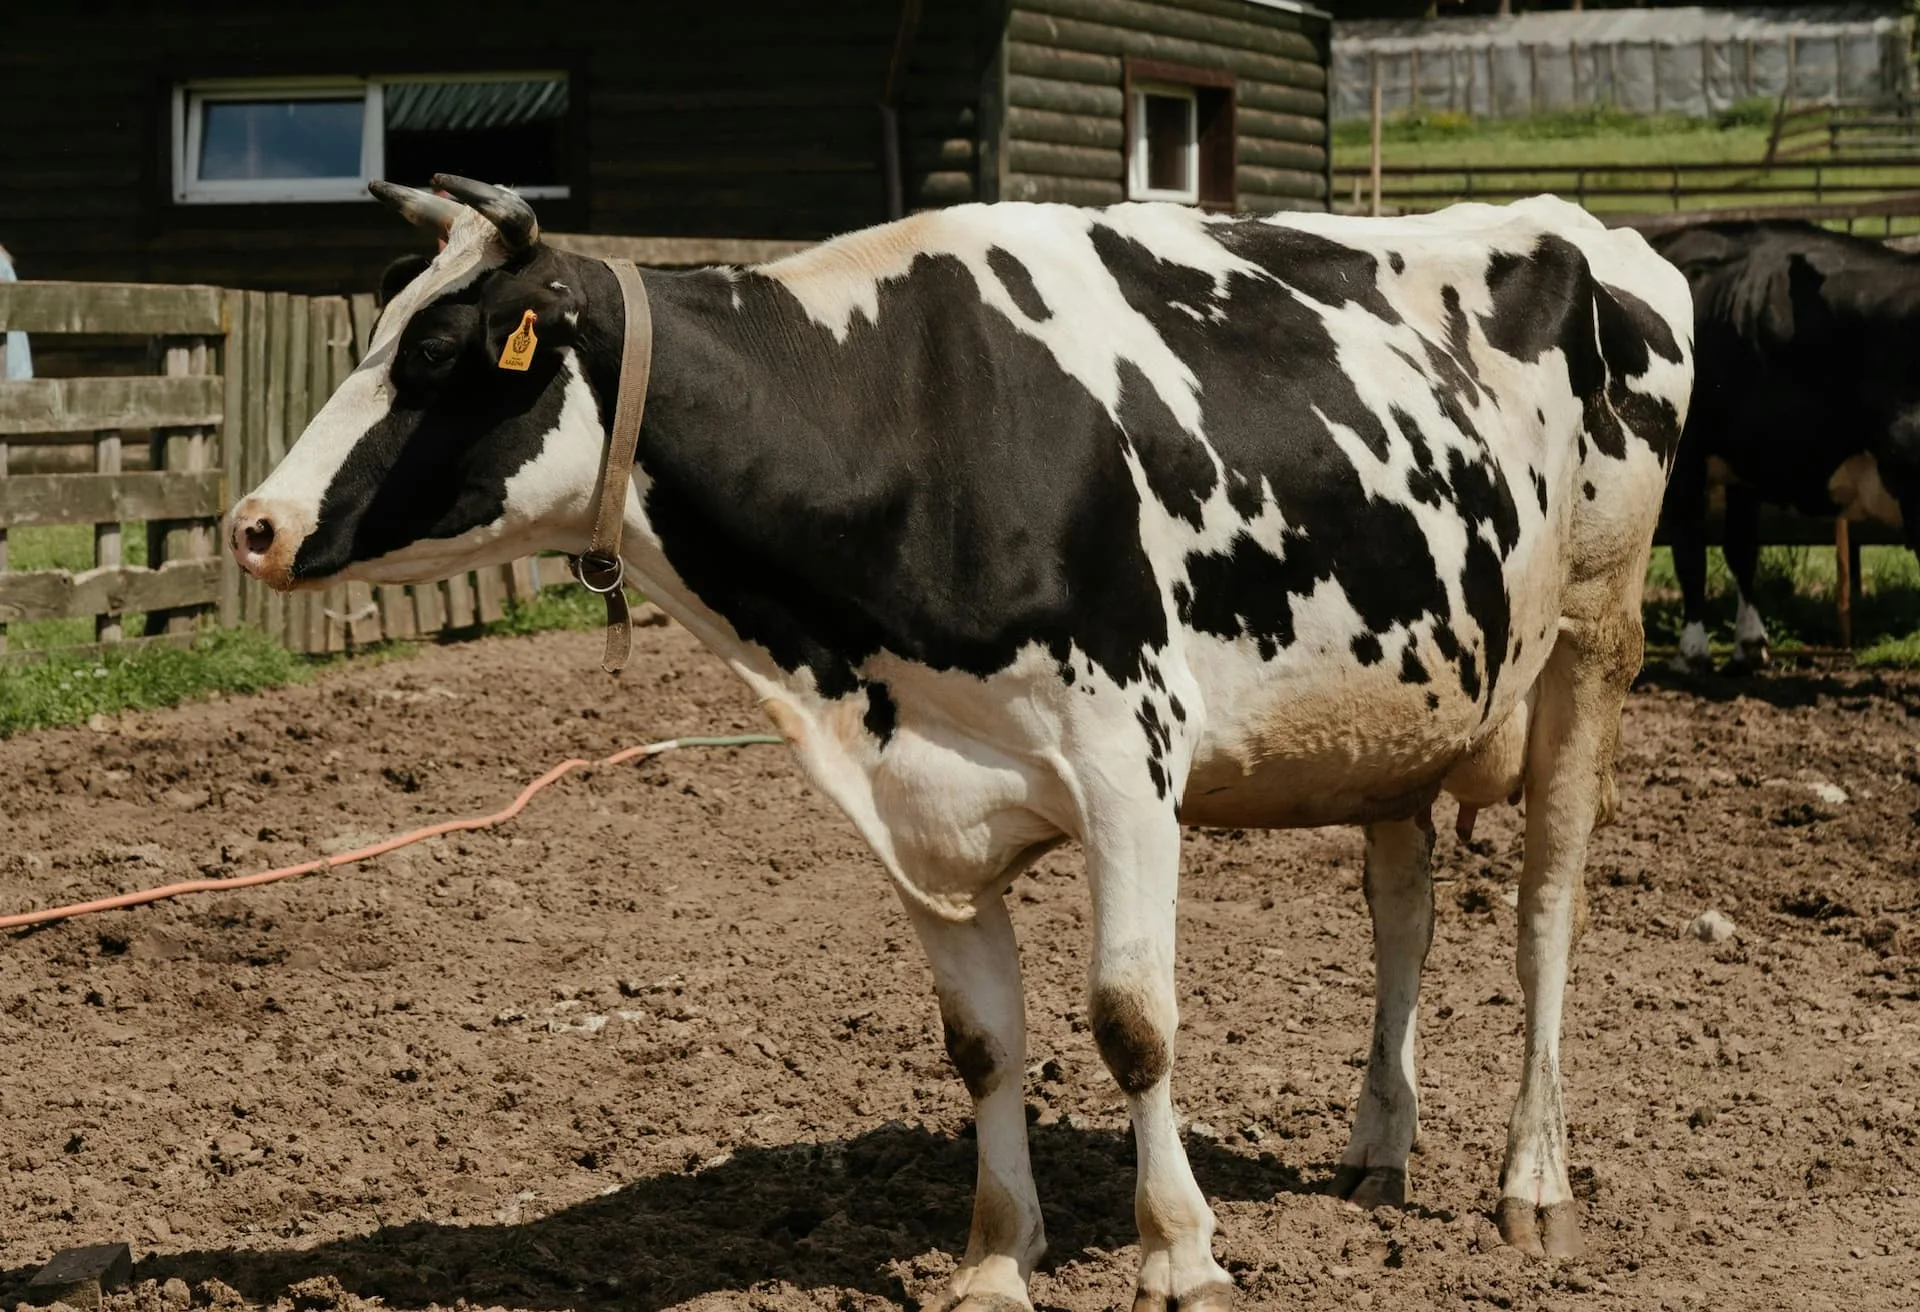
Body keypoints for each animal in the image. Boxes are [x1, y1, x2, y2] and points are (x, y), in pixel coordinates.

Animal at [228, 177, 1692, 1311]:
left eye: (437, 356)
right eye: (378, 330)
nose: (254, 524)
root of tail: (1588, 230)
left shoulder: (1129, 761)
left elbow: (1132, 1023)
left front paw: (1181, 1255)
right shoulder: (913, 806)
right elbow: (983, 1044)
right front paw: (996, 1257)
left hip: (1593, 642)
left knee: (1546, 912)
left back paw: (1533, 1183)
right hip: (1403, 704)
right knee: (1403, 910)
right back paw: (1379, 1151)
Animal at [1650, 220, 1920, 671]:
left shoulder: (1686, 458)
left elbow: (1690, 550)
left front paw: (1692, 653)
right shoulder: (1742, 461)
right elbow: (1740, 548)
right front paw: (1749, 644)